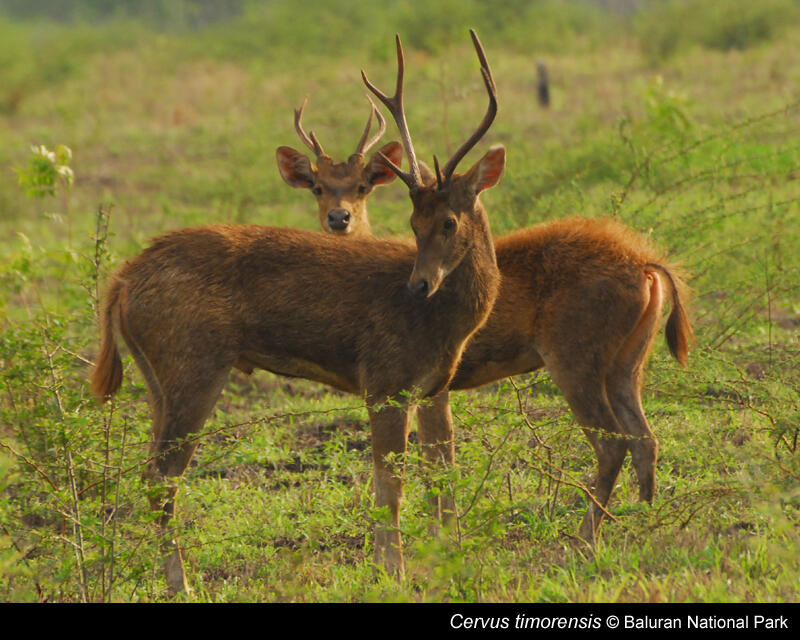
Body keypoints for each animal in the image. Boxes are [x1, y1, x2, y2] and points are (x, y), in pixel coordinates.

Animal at [92, 28, 500, 592]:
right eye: (414, 222)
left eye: (448, 221)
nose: (419, 284)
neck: (445, 326)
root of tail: (122, 281)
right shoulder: (384, 380)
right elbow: (389, 485)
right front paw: (391, 573)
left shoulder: (435, 388)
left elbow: (443, 479)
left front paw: (450, 563)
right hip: (192, 364)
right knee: (161, 476)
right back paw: (182, 584)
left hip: (157, 376)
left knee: (149, 469)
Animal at [294, 36, 692, 544]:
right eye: (413, 222)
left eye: (448, 221)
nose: (338, 218)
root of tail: (647, 264)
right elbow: (440, 464)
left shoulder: (431, 381)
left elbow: (437, 466)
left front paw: (445, 541)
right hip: (629, 359)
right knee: (645, 440)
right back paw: (638, 524)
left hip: (574, 354)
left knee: (611, 442)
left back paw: (583, 540)